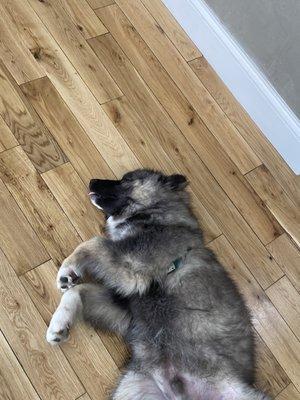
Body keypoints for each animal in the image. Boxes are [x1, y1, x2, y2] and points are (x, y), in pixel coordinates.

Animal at [46, 170, 270, 400]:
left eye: (127, 180)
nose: (92, 181)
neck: (155, 216)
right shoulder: (124, 308)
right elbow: (77, 290)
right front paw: (58, 324)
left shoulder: (132, 268)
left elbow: (93, 242)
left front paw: (68, 268)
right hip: (132, 388)